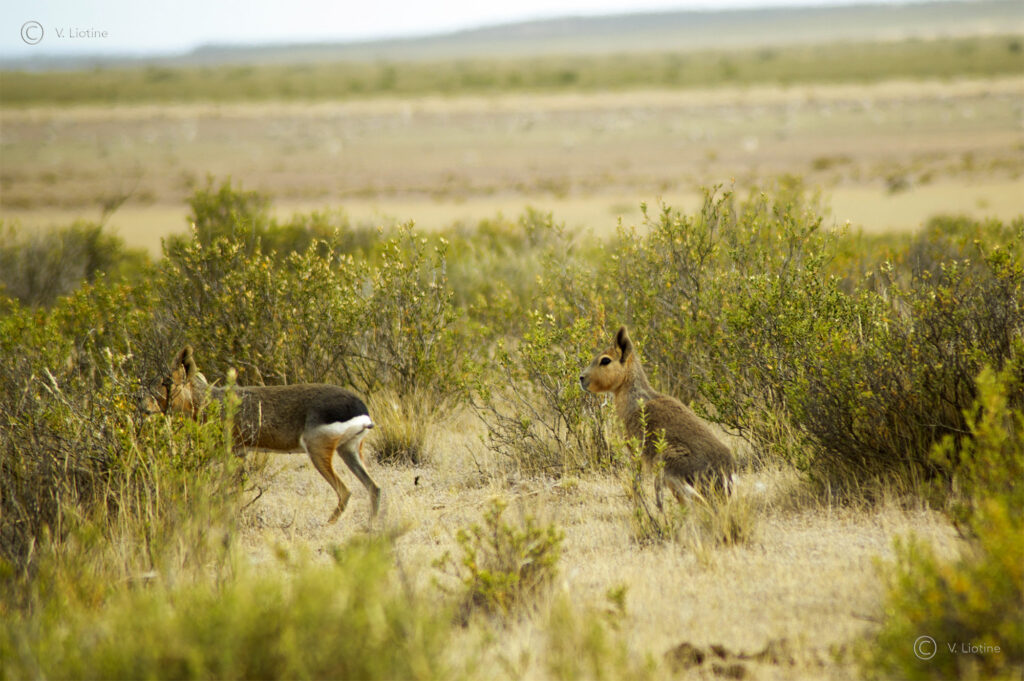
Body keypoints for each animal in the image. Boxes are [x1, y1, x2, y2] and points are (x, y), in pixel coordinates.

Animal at [145, 346, 380, 523]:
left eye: (166, 382)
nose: (144, 406)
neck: (210, 402)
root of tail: (360, 409)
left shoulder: (231, 450)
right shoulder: (241, 452)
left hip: (318, 452)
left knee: (345, 491)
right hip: (348, 450)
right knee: (374, 488)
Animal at [580, 326, 735, 507]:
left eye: (605, 360)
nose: (581, 378)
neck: (635, 399)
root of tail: (725, 481)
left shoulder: (635, 449)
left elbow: (636, 483)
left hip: (668, 463)